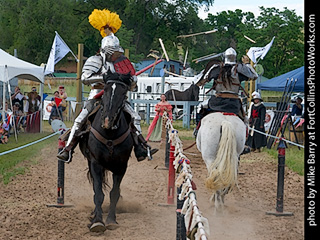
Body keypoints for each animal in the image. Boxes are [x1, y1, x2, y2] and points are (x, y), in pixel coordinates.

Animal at [79, 77, 134, 232]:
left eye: (123, 93)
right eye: (105, 91)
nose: (108, 121)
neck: (110, 134)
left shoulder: (121, 167)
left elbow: (114, 193)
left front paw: (111, 220)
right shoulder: (95, 164)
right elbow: (98, 193)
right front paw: (97, 221)